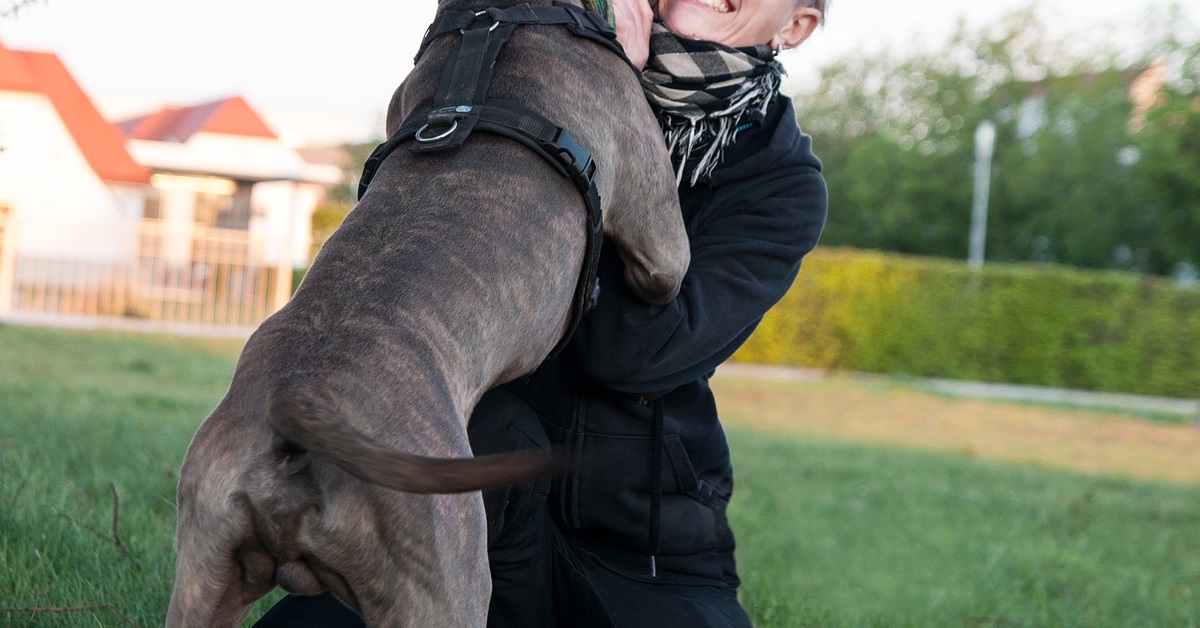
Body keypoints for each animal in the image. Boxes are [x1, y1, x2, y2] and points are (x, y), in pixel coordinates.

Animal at [165, 2, 691, 624]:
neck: (499, 17)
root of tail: (295, 411)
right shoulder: (661, 241)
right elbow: (666, 267)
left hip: (204, 572)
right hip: (444, 576)